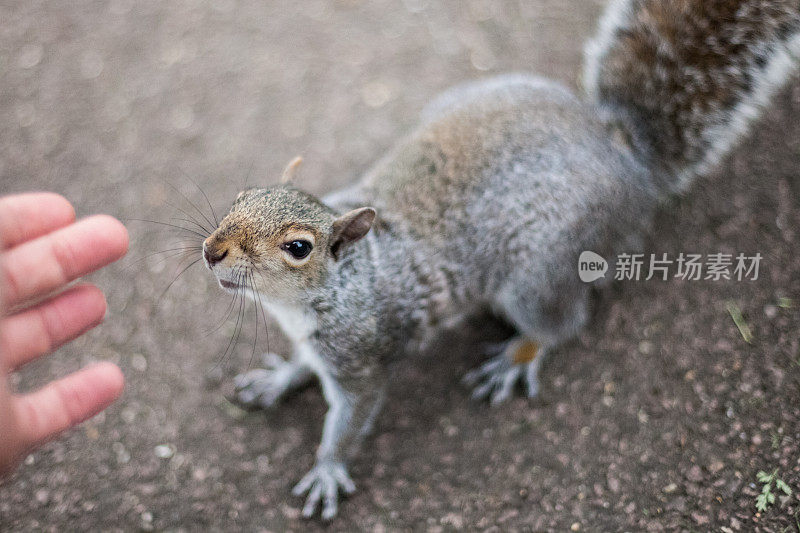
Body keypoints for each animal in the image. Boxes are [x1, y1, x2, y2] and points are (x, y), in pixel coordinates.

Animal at [198, 0, 800, 520]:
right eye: (242, 194)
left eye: (298, 248)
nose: (211, 250)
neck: (337, 288)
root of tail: (623, 159)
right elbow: (301, 362)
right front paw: (277, 379)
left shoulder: (365, 359)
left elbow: (350, 420)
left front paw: (326, 469)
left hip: (538, 276)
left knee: (565, 322)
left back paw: (517, 356)